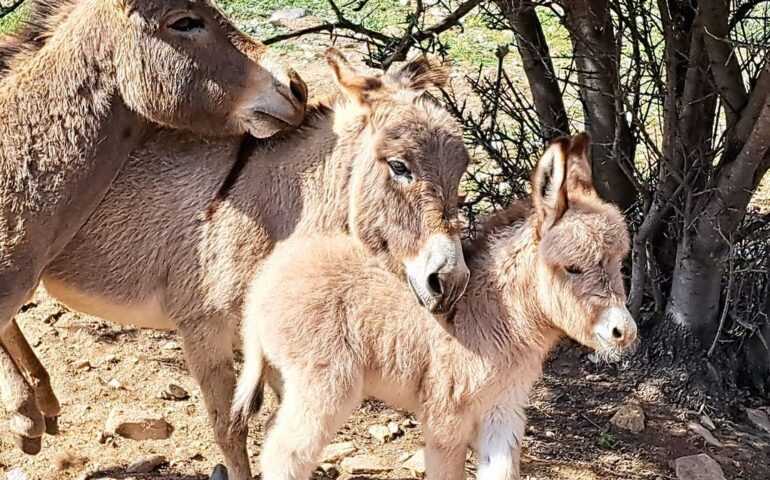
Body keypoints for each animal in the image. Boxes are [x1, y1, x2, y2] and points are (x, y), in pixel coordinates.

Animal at [232, 134, 636, 480]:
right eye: (573, 267)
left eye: (620, 262)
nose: (625, 333)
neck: (497, 314)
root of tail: (262, 283)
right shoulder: (446, 420)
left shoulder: (503, 411)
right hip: (326, 387)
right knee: (284, 454)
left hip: (290, 382)